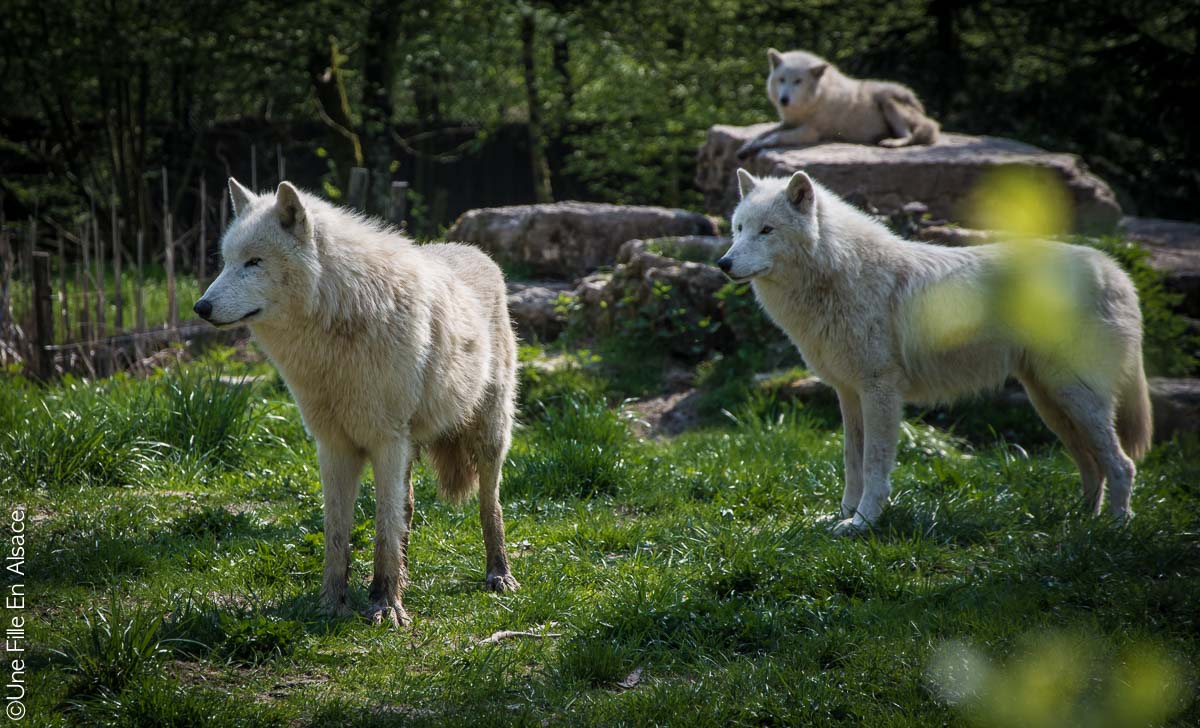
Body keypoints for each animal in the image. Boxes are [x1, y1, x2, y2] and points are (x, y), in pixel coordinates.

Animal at [194, 177, 518, 628]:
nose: (200, 307)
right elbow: (337, 533)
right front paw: (332, 604)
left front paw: (385, 605)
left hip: (487, 437)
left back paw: (498, 573)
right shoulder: (332, 446)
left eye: (254, 262)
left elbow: (382, 529)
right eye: (225, 262)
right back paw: (407, 576)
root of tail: (478, 253)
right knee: (407, 508)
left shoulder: (386, 442)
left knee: (490, 504)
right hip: (409, 447)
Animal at [715, 170, 1147, 534]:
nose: (723, 263)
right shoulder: (848, 394)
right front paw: (841, 516)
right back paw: (1081, 523)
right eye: (738, 228)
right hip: (1052, 404)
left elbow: (874, 465)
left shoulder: (880, 391)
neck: (838, 274)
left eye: (767, 230)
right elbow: (852, 462)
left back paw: (1115, 529)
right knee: (1093, 465)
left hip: (1073, 398)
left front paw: (862, 523)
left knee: (1122, 464)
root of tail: (1115, 270)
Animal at [734, 48, 940, 158]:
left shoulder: (810, 131)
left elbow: (776, 137)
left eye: (798, 81)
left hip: (888, 100)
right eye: (782, 80)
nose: (784, 99)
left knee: (910, 136)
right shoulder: (788, 122)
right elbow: (763, 133)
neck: (814, 100)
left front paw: (763, 144)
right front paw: (747, 147)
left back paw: (892, 142)